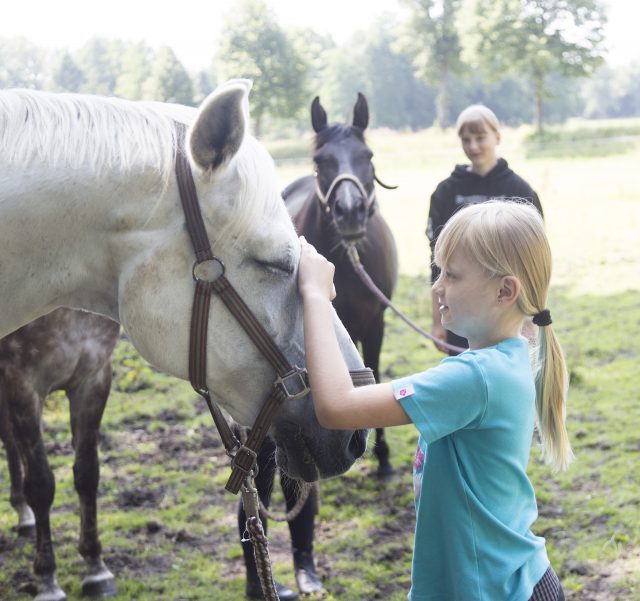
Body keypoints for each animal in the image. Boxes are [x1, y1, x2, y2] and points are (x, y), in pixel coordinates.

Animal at [0, 310, 120, 600]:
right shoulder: (23, 384)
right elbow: (41, 485)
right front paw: (47, 580)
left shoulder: (93, 377)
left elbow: (87, 474)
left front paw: (96, 568)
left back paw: (24, 515)